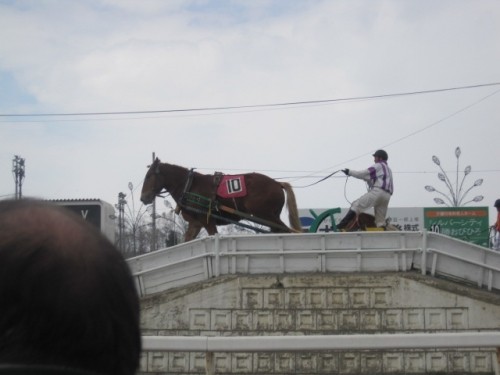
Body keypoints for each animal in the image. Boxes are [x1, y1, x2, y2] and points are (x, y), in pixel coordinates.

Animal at [140, 158, 300, 241]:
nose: (143, 198)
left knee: (284, 230)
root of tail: (277, 183)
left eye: (148, 176)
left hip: (265, 214)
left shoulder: (207, 220)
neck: (189, 185)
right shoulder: (195, 224)